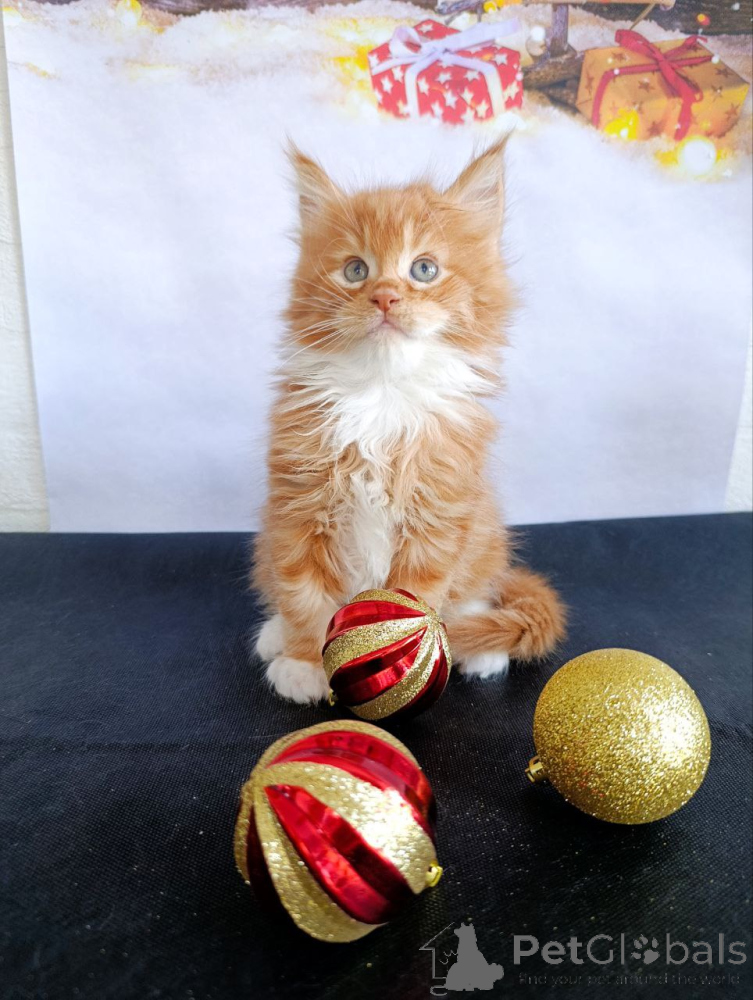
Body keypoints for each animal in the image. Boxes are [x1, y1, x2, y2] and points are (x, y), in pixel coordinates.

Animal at [253, 140, 565, 703]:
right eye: (356, 270)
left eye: (423, 269)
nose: (384, 296)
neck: (382, 395)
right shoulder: (297, 506)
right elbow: (303, 592)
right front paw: (304, 662)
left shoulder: (440, 511)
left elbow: (417, 602)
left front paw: (407, 667)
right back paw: (274, 634)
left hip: (483, 530)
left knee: (473, 590)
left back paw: (480, 647)